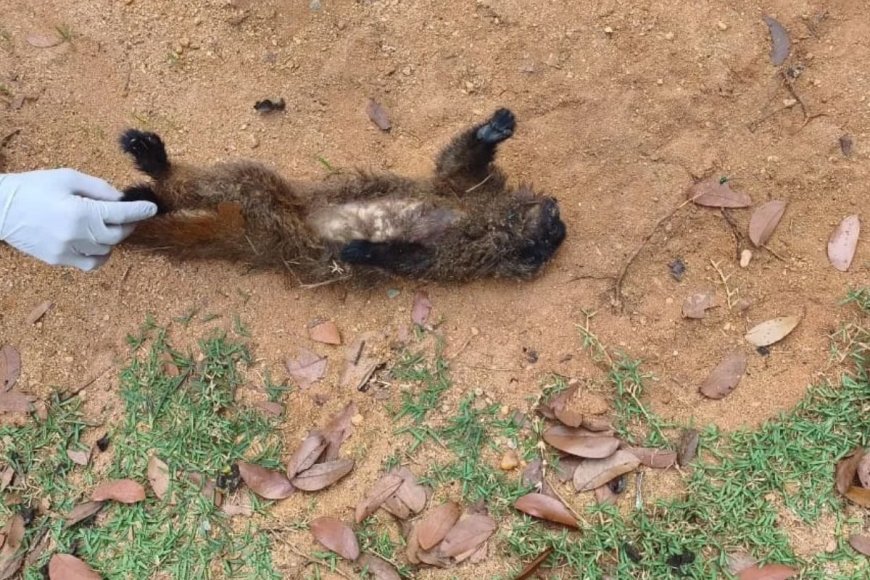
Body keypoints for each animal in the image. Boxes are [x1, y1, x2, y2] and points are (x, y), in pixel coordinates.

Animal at [118, 108, 566, 285]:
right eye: (554, 226)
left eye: (550, 239)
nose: (559, 219)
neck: (492, 221)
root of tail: (254, 240)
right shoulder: (472, 191)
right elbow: (454, 167)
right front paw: (492, 132)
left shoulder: (466, 258)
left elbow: (414, 261)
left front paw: (366, 252)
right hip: (287, 207)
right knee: (234, 181)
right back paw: (159, 170)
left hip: (276, 222)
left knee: (244, 186)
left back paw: (156, 191)